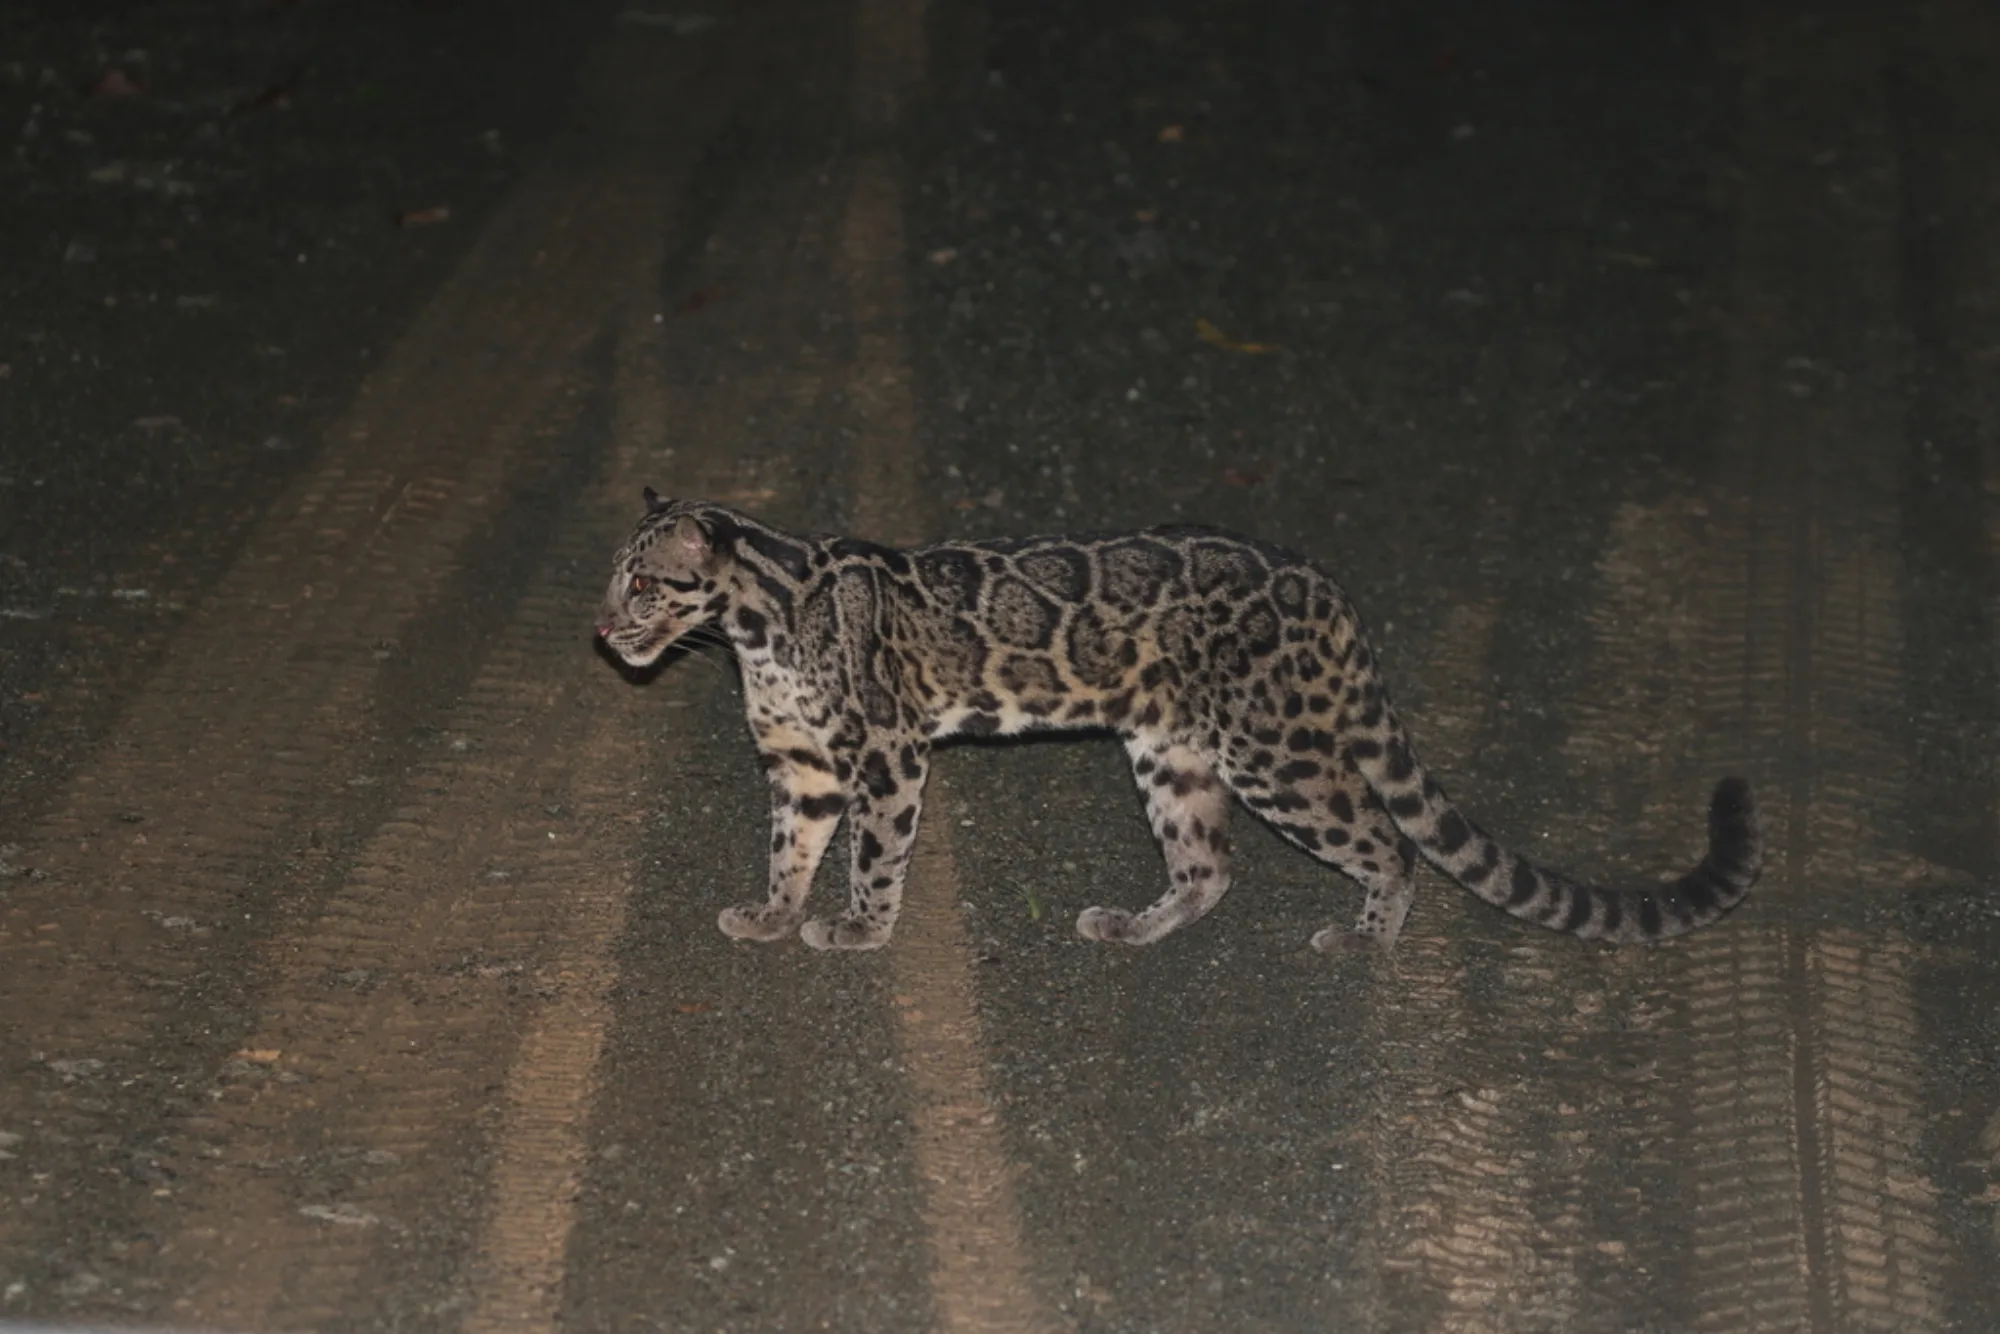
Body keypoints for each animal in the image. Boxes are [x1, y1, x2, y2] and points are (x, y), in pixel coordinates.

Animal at [595, 491, 1761, 954]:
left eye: (645, 583)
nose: (601, 628)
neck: (755, 627)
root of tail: (1328, 590)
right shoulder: (802, 765)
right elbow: (791, 845)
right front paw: (773, 910)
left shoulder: (887, 751)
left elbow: (873, 854)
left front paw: (858, 926)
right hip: (1171, 751)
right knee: (1209, 867)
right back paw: (1134, 924)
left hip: (1271, 750)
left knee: (1386, 840)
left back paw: (1367, 934)